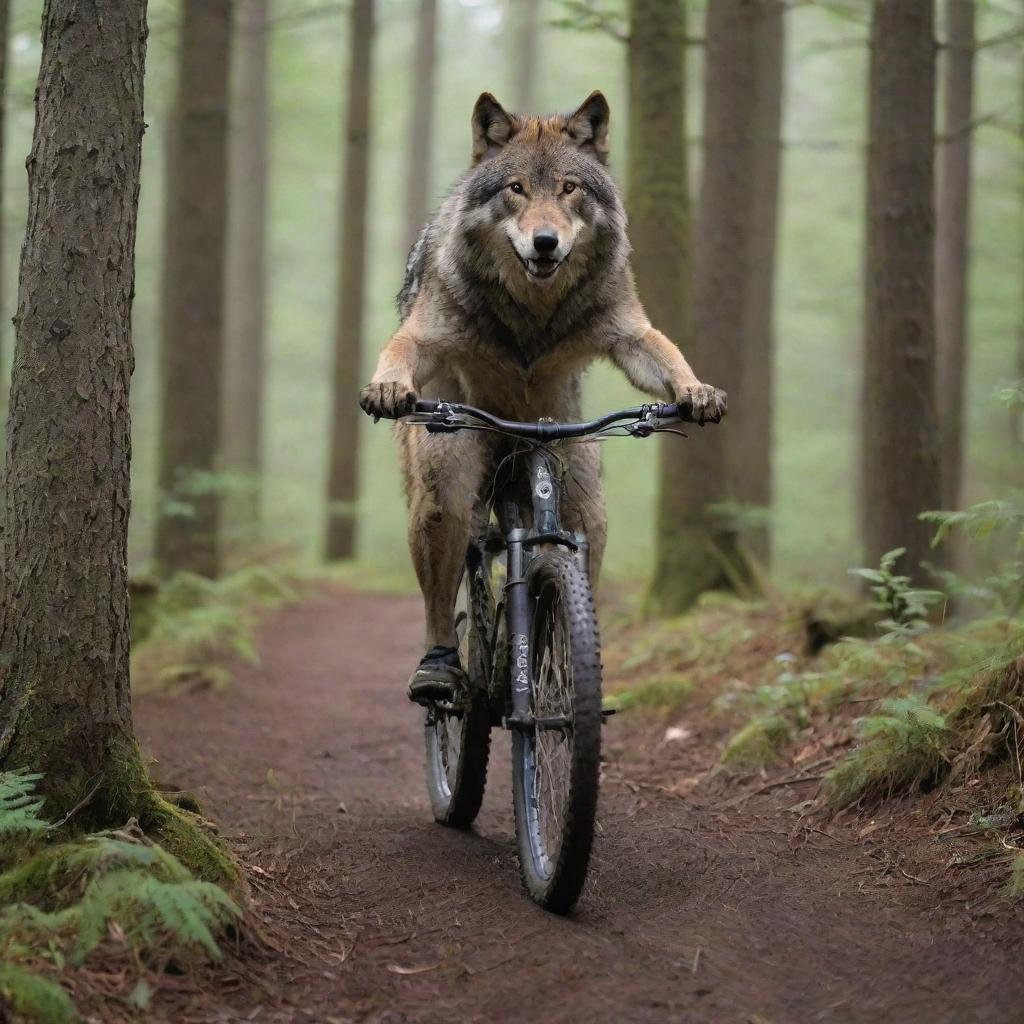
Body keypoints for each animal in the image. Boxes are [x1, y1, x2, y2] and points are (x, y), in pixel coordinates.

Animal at [362, 92, 729, 700]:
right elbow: (402, 347)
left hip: (579, 481)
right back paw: (439, 669)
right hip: (448, 470)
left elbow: (663, 351)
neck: (531, 316)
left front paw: (697, 391)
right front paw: (387, 385)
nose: (545, 241)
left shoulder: (626, 330)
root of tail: (520, 441)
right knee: (446, 568)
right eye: (516, 189)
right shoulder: (426, 334)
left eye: (568, 189)